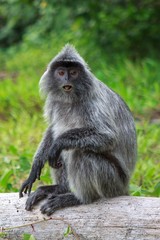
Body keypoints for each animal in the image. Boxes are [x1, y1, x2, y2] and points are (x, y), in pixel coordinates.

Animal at [19, 44, 136, 216]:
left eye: (73, 73)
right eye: (61, 73)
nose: (67, 80)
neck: (70, 99)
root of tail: (124, 187)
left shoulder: (93, 101)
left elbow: (106, 137)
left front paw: (57, 144)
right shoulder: (54, 101)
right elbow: (52, 129)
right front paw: (36, 164)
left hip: (112, 182)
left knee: (80, 153)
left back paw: (79, 198)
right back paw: (60, 188)